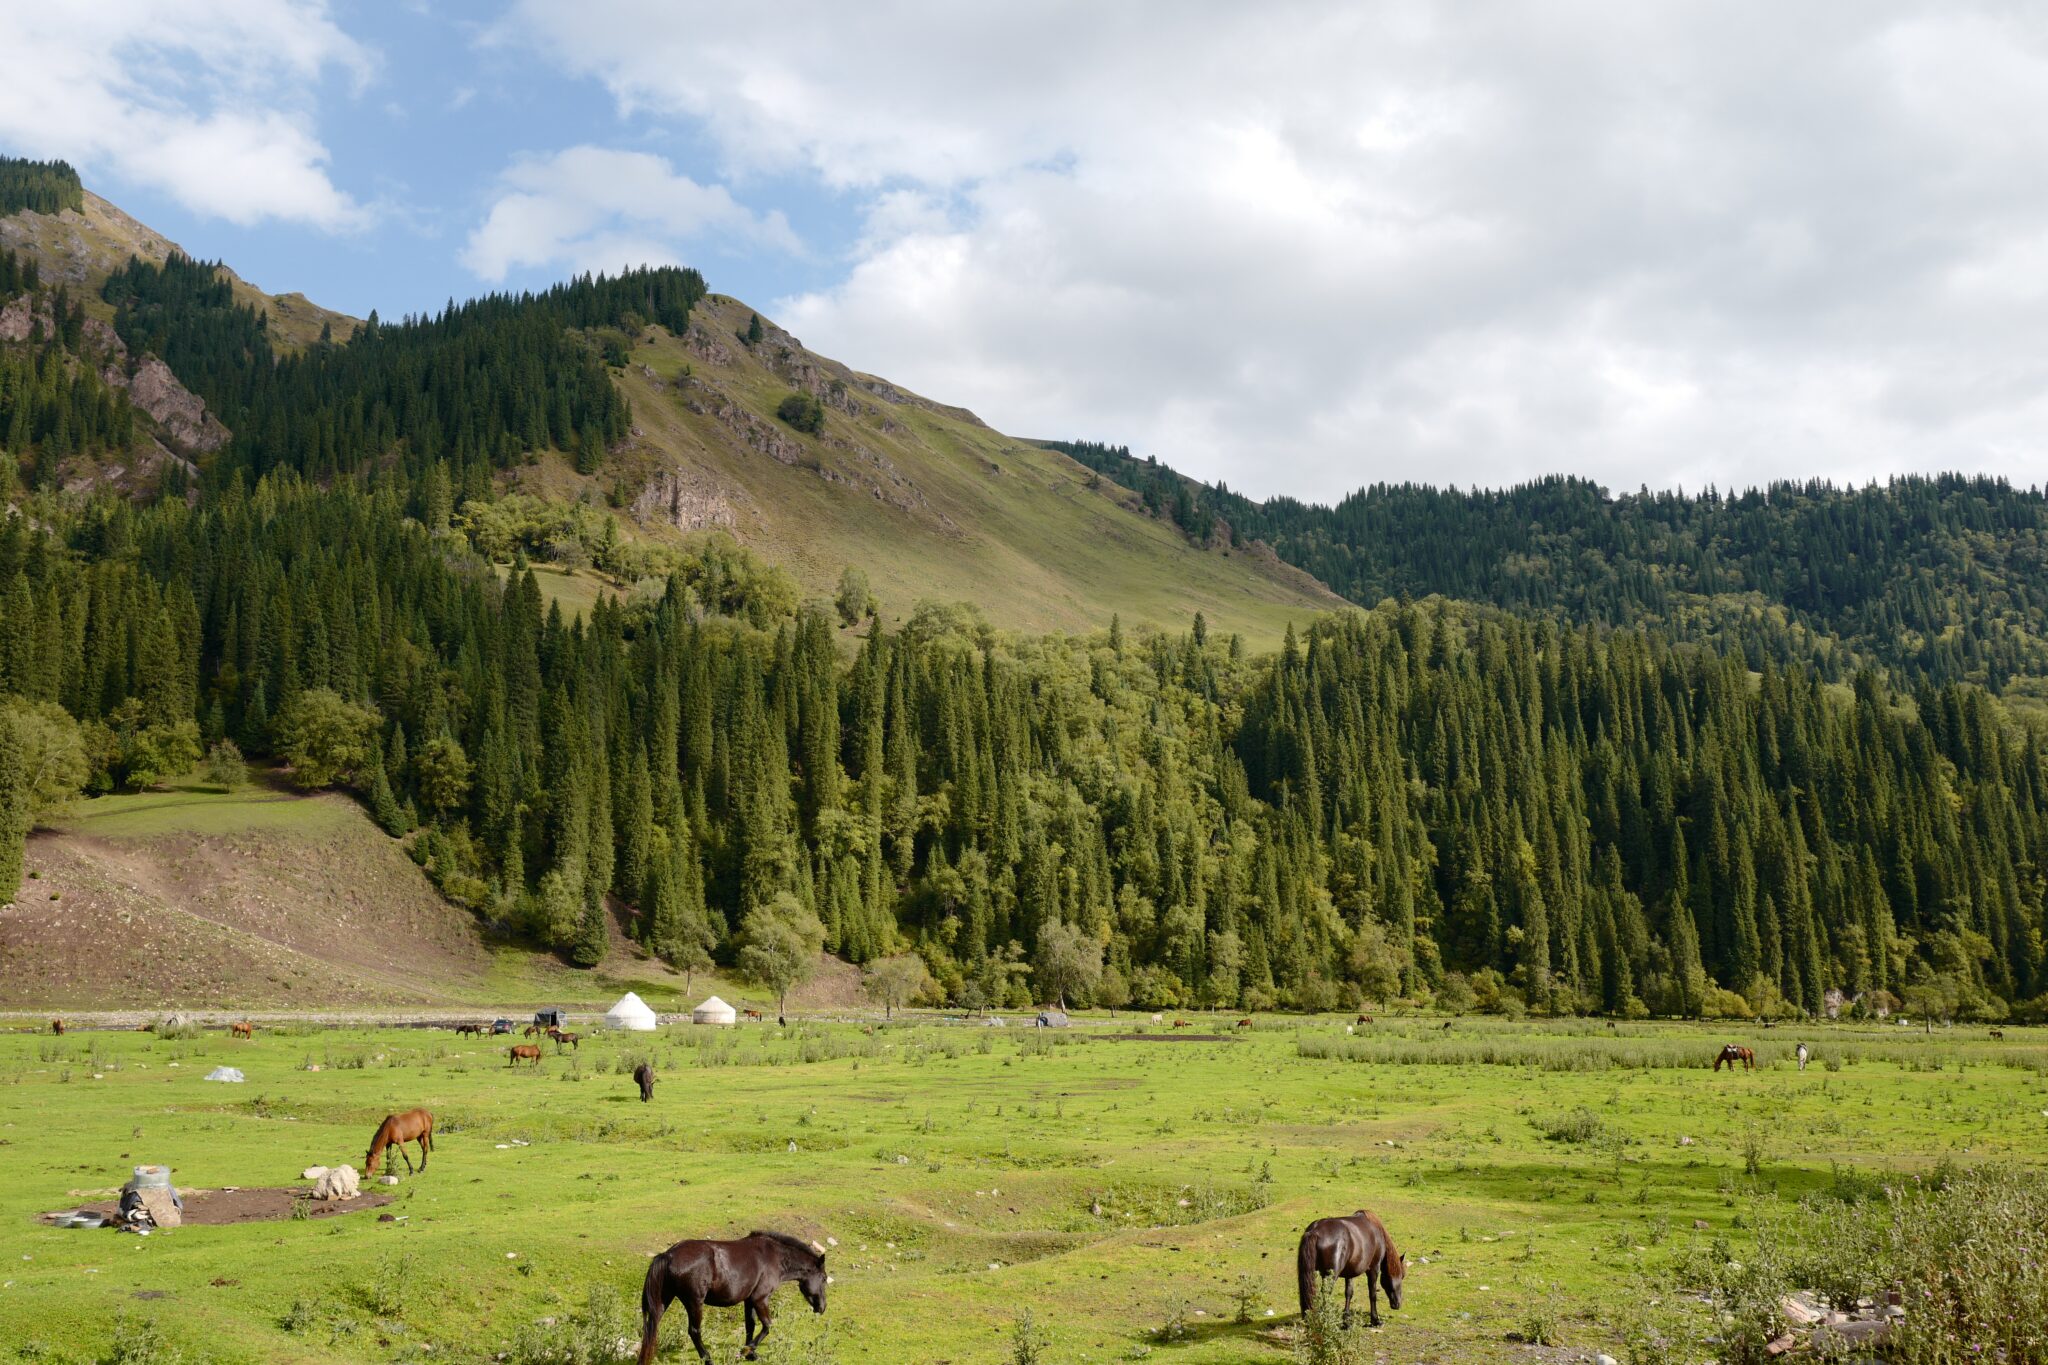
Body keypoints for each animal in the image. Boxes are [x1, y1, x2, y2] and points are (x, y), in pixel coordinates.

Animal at [638, 1227, 831, 1365]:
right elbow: (767, 1325)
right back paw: (708, 1359)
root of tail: (668, 1255)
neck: (775, 1257)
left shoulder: (749, 1300)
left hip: (664, 1301)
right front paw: (745, 1351)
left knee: (651, 1330)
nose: (822, 1308)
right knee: (694, 1331)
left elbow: (750, 1325)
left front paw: (751, 1355)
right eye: (823, 1278)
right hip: (695, 1302)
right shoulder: (760, 1299)